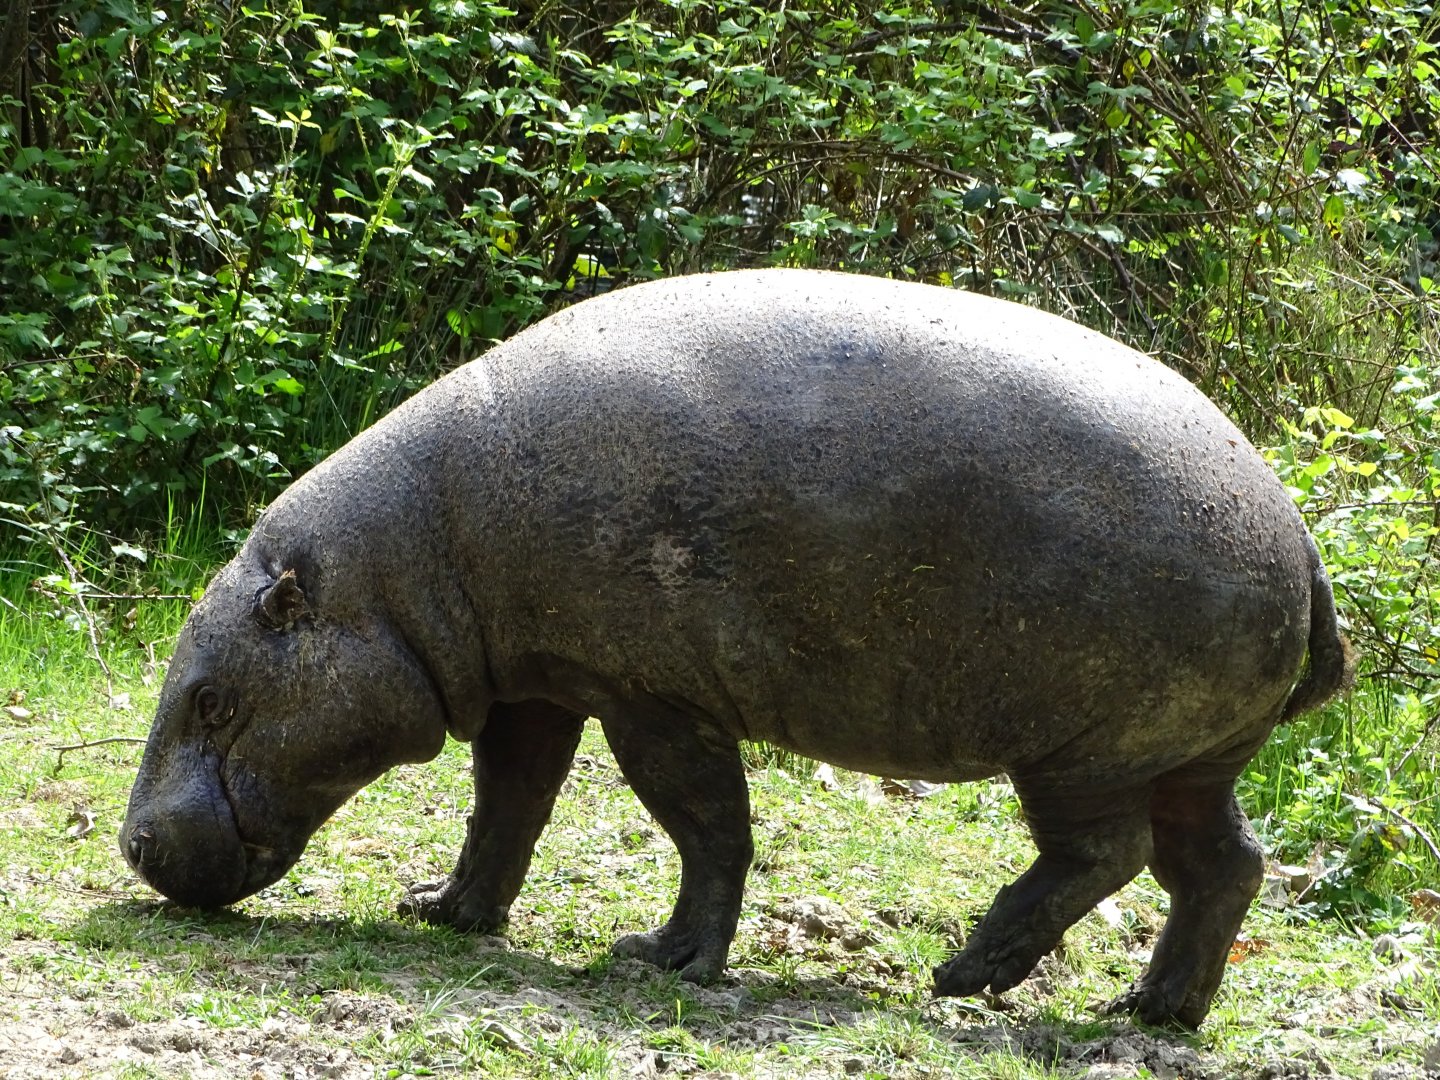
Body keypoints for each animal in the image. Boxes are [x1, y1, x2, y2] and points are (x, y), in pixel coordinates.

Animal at [122, 269, 1351, 1028]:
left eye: (213, 700)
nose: (132, 845)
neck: (404, 567)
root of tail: (1296, 531)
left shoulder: (650, 695)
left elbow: (704, 824)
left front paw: (663, 961)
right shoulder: (539, 686)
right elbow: (507, 805)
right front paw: (440, 909)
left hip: (1085, 748)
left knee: (1104, 855)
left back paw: (963, 975)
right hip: (1194, 755)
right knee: (1224, 866)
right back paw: (1148, 1011)